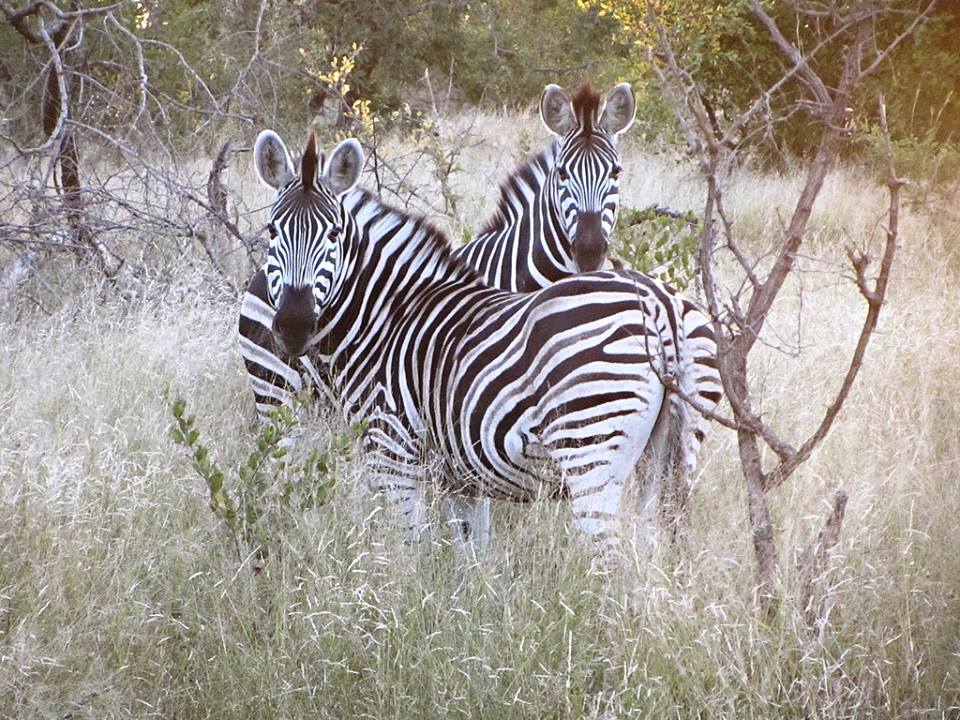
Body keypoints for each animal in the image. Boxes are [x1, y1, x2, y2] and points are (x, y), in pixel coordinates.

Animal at [249, 129, 711, 554]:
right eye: (272, 230)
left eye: (334, 236)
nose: (292, 325)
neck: (386, 318)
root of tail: (662, 305)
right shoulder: (460, 477)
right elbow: (469, 560)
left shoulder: (392, 456)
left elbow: (407, 554)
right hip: (667, 460)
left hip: (590, 451)